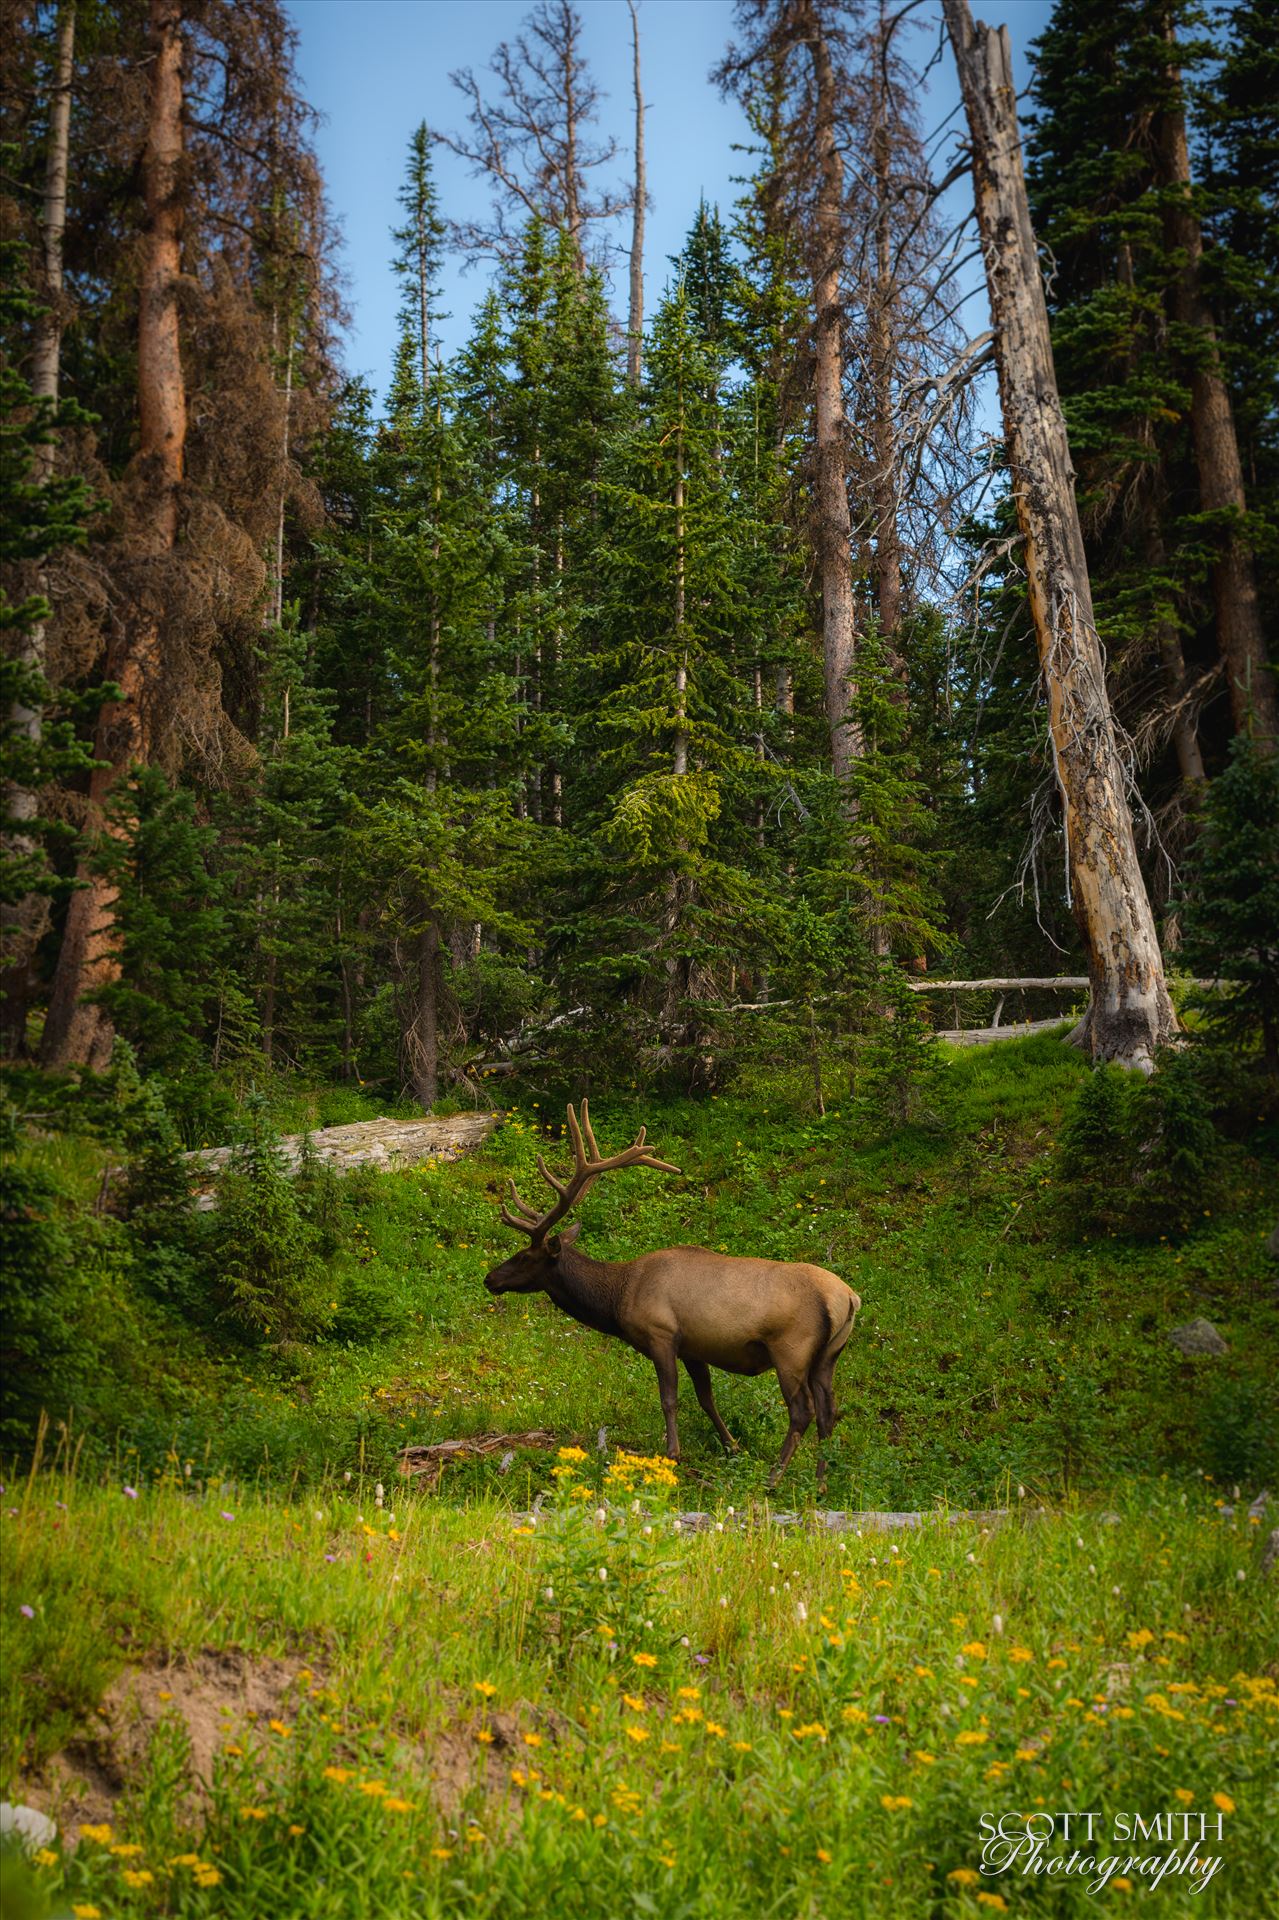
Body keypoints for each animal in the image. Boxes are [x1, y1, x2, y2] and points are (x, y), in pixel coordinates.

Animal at [483, 1098, 860, 1482]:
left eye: (524, 1256)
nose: (490, 1279)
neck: (618, 1296)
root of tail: (848, 1298)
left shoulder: (661, 1334)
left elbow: (669, 1398)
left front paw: (673, 1453)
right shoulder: (694, 1347)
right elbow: (706, 1398)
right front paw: (732, 1445)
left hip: (791, 1349)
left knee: (803, 1411)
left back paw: (774, 1477)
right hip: (828, 1355)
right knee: (829, 1412)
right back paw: (821, 1481)